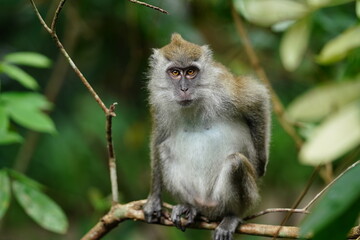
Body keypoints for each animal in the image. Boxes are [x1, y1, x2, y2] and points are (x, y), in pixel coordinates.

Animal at [143, 33, 270, 240]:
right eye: (175, 73)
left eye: (191, 72)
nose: (184, 88)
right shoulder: (159, 103)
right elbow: (158, 139)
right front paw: (154, 200)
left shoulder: (223, 88)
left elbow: (257, 97)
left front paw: (259, 165)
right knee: (164, 150)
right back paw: (190, 208)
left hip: (230, 200)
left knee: (236, 163)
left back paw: (232, 216)